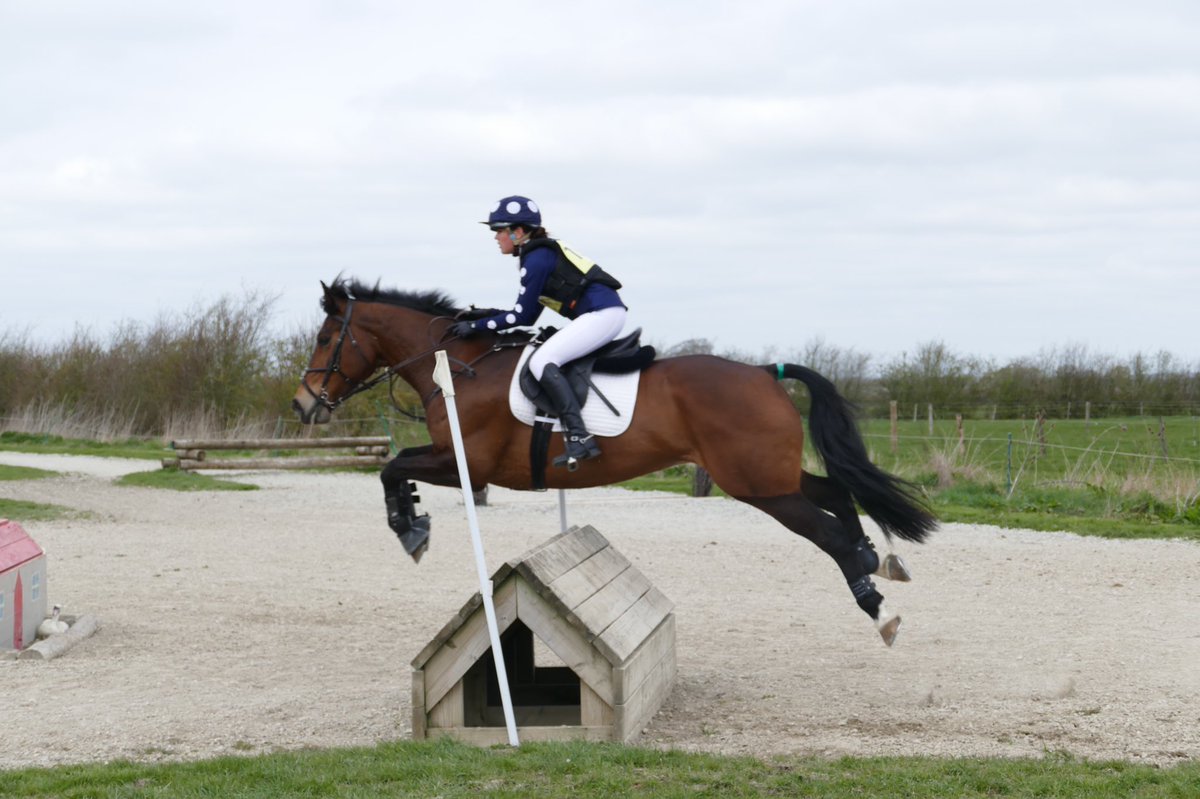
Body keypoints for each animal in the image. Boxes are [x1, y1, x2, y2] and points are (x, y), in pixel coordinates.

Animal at [292, 278, 936, 645]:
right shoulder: (456, 463)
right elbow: (395, 466)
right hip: (766, 476)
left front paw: (410, 528)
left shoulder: (466, 463)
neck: (458, 366)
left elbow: (392, 466)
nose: (304, 404)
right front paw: (412, 520)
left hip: (757, 486)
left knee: (827, 533)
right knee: (835, 495)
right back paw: (880, 561)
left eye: (325, 339)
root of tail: (763, 372)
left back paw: (878, 609)